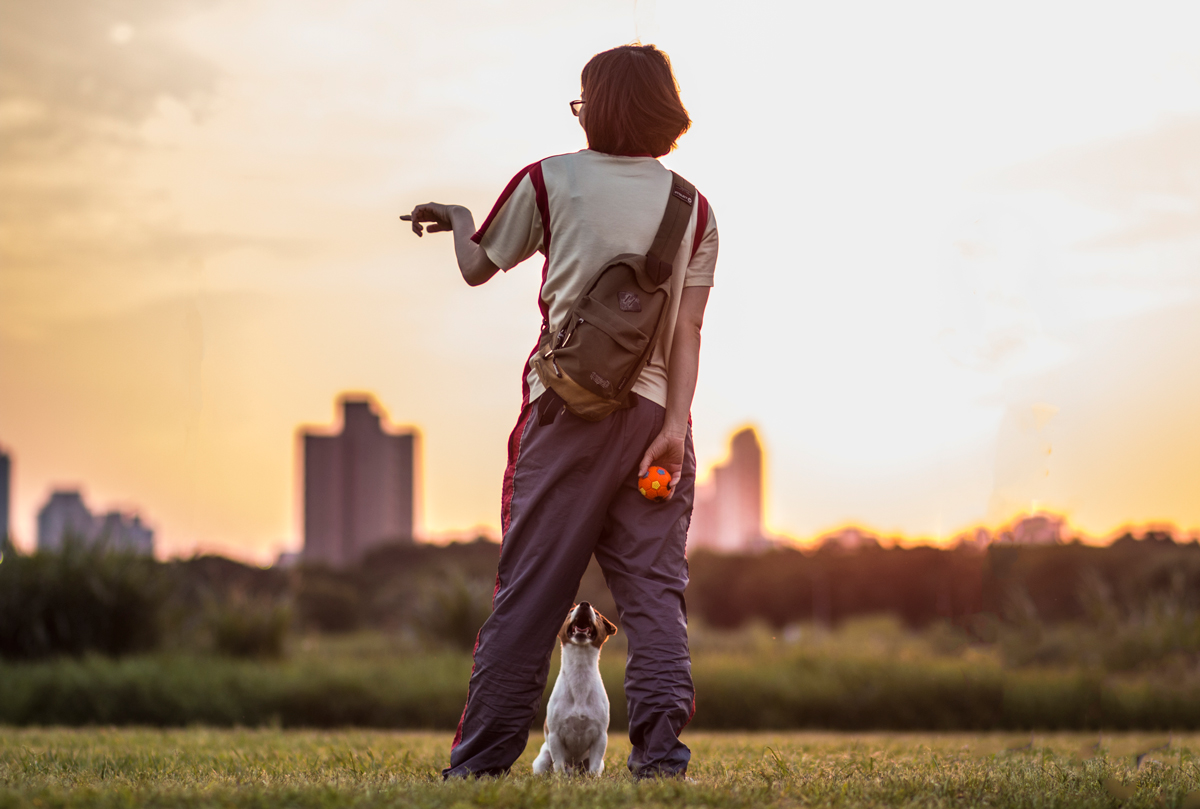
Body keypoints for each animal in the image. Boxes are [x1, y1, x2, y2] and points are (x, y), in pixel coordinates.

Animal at [535, 602, 619, 772]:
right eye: (571, 611)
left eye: (597, 614)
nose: (585, 604)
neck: (580, 672)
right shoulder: (555, 736)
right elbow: (559, 766)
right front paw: (559, 777)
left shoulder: (600, 737)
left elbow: (593, 768)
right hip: (542, 760)